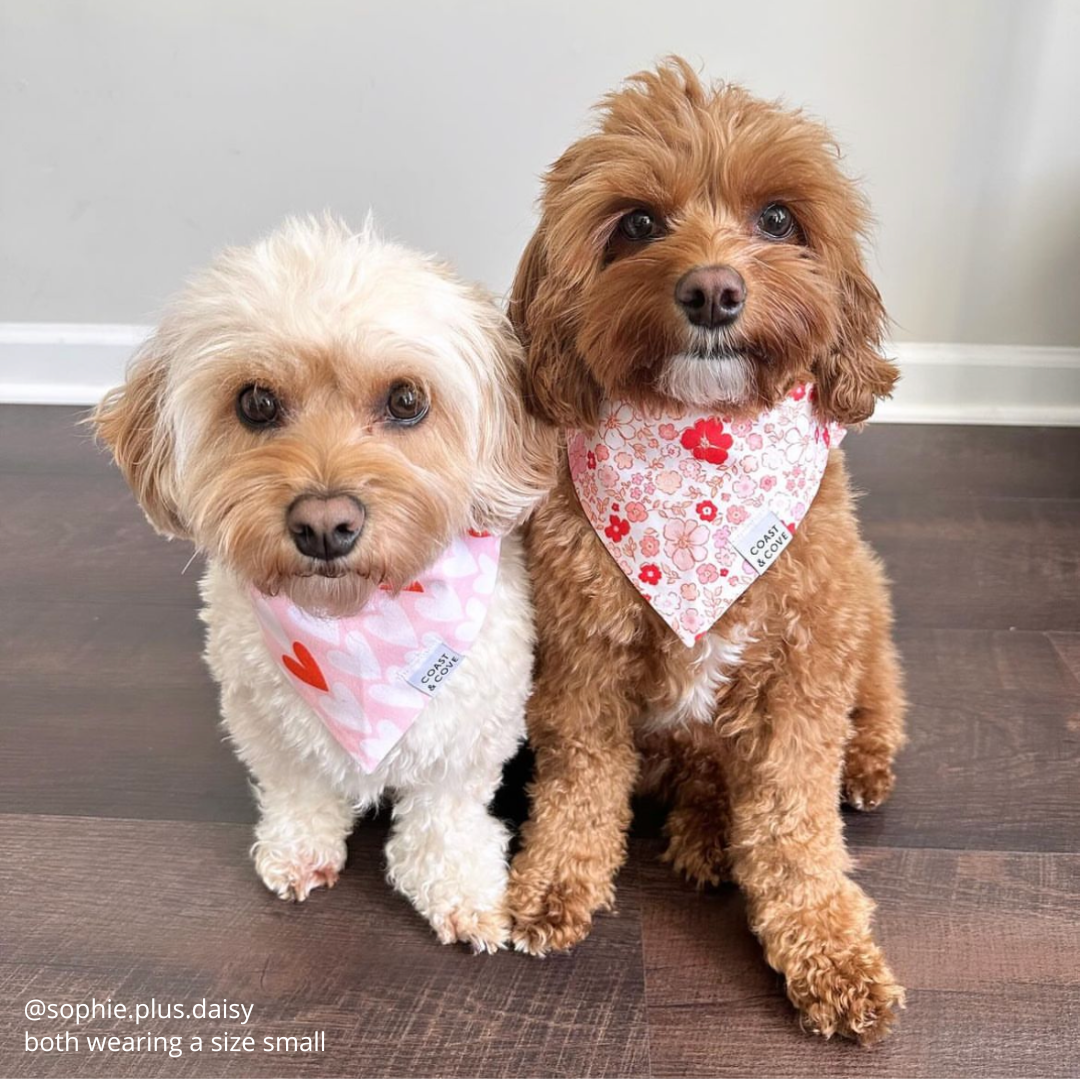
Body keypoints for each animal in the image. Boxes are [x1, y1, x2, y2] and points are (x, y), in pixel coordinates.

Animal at [95, 219, 557, 954]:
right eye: (256, 402)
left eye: (406, 400)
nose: (323, 526)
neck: (357, 630)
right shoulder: (263, 717)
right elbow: (298, 787)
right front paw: (300, 846)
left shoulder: (472, 728)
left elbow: (447, 814)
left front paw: (459, 886)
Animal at [503, 61, 902, 1045]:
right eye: (639, 224)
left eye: (778, 220)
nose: (714, 291)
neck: (697, 460)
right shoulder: (583, 664)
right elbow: (579, 787)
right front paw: (551, 885)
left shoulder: (802, 674)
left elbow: (797, 831)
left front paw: (832, 953)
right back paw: (709, 829)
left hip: (862, 611)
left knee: (877, 704)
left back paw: (853, 772)